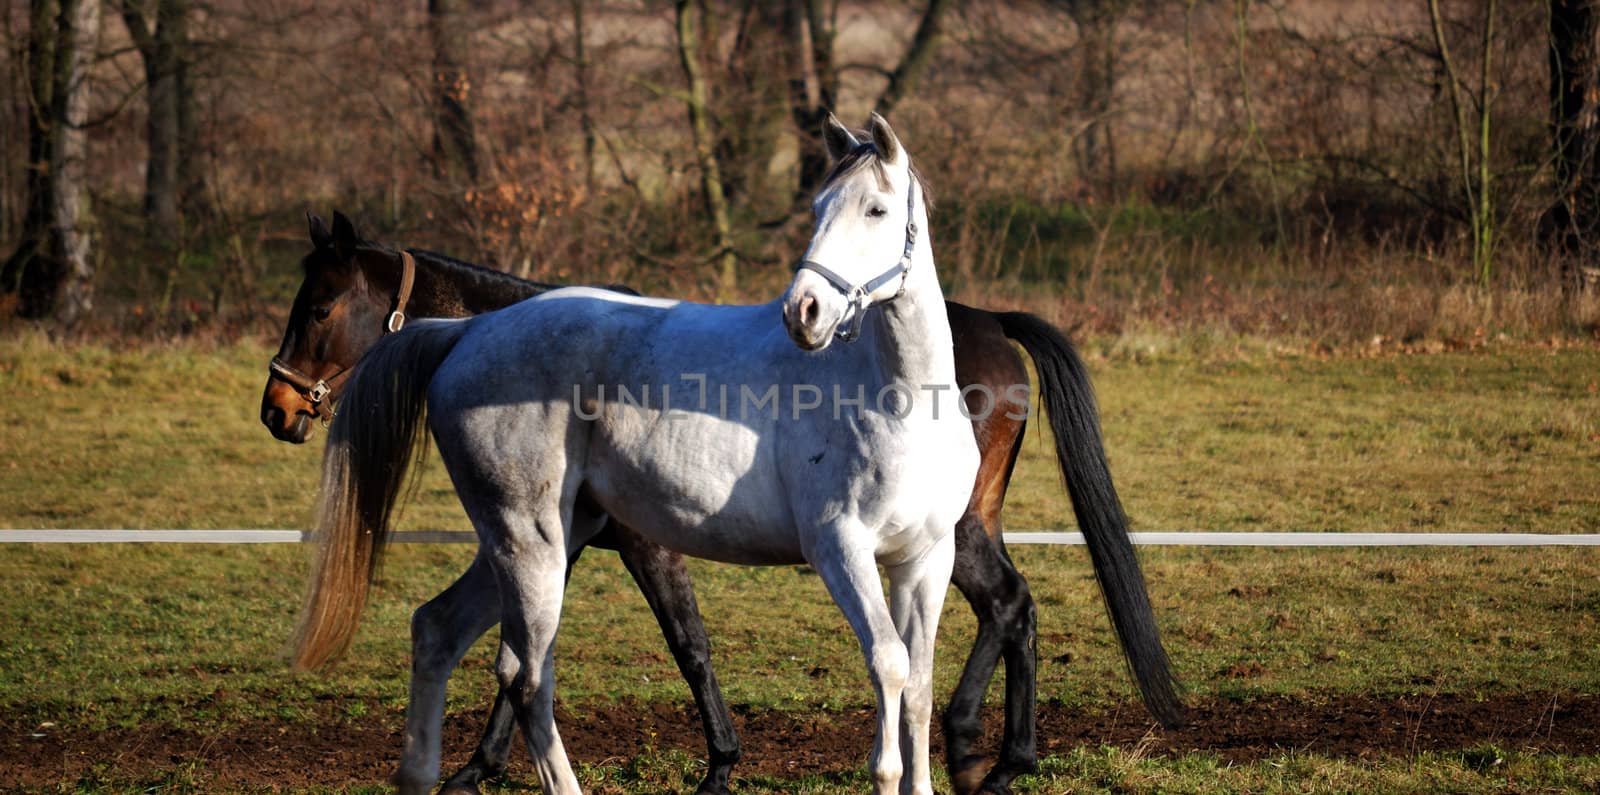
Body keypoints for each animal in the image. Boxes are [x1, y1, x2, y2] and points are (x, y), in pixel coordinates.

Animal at [268, 125, 1184, 793]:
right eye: (819, 205)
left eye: (876, 209)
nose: (804, 310)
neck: (896, 391)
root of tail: (464, 336)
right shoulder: (840, 551)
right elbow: (880, 664)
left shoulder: (919, 555)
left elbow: (915, 680)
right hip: (532, 543)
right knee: (524, 673)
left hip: (536, 544)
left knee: (445, 632)